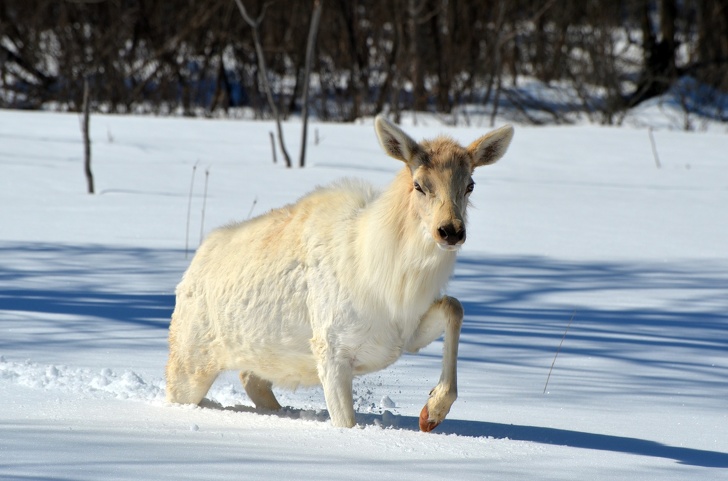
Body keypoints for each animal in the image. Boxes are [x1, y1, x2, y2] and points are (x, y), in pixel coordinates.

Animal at [166, 116, 514, 431]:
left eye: (469, 185)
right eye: (419, 184)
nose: (451, 231)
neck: (393, 282)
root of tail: (190, 273)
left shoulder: (403, 337)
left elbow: (454, 307)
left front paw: (432, 412)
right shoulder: (331, 350)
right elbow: (346, 424)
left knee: (252, 377)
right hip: (189, 361)